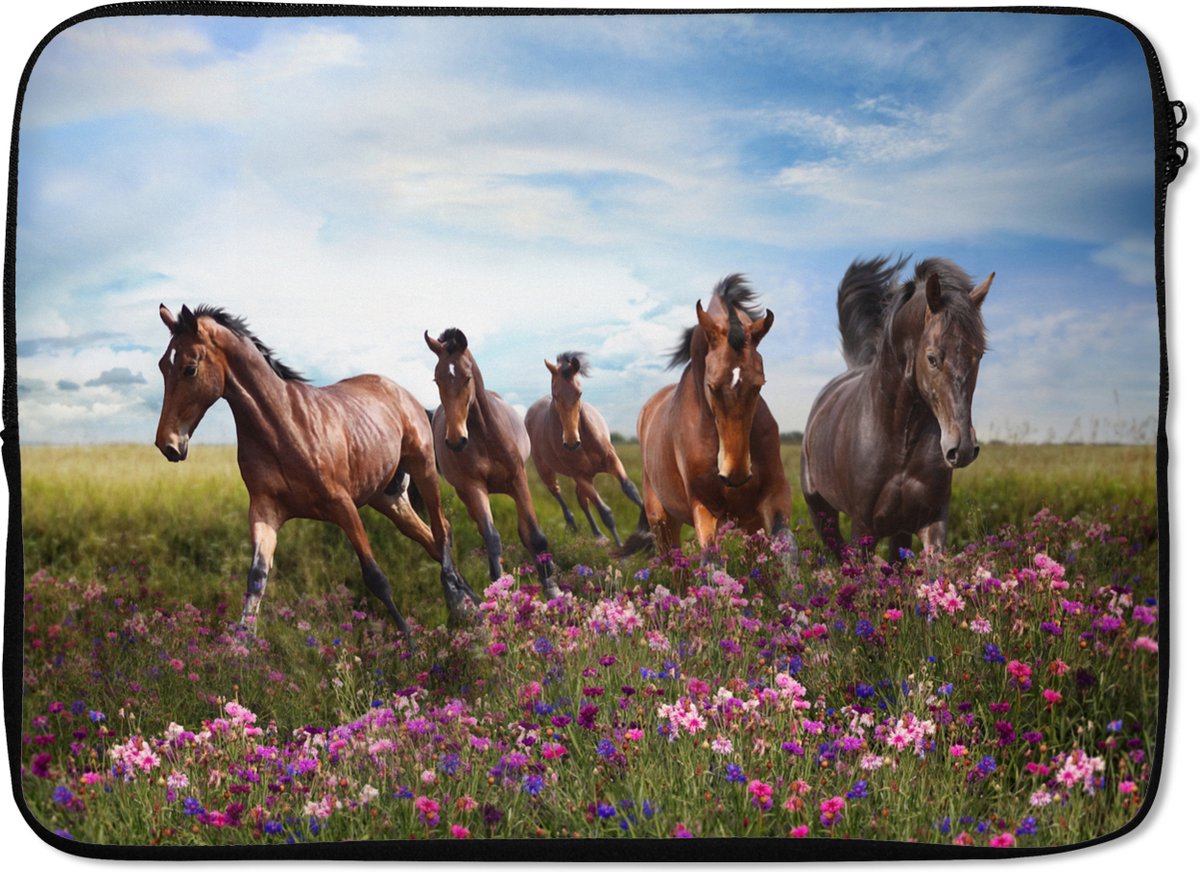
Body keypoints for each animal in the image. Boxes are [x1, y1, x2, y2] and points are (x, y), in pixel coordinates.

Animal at [153, 304, 478, 646]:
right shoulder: (264, 511)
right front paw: (240, 645)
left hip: (424, 470)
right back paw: (472, 604)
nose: (168, 445)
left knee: (442, 530)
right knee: (431, 539)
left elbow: (375, 576)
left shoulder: (343, 506)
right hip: (389, 500)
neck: (282, 427)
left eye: (189, 368)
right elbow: (256, 579)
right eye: (163, 366)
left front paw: (410, 643)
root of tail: (403, 393)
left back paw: (462, 604)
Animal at [424, 328, 562, 599]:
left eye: (467, 378)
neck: (486, 437)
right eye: (436, 380)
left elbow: (534, 534)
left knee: (525, 531)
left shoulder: (519, 478)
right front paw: (499, 588)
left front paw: (552, 586)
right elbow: (492, 538)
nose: (455, 440)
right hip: (466, 493)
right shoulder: (474, 487)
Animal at [524, 352, 644, 545]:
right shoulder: (580, 476)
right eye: (555, 394)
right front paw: (622, 548)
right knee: (558, 492)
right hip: (548, 471)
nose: (571, 442)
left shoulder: (612, 461)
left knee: (582, 501)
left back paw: (597, 534)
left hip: (586, 475)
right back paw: (574, 524)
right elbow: (606, 513)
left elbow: (631, 490)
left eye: (579, 393)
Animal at [625, 275, 796, 560]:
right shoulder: (704, 508)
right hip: (662, 522)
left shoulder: (773, 498)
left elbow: (787, 551)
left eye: (758, 385)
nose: (735, 474)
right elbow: (711, 560)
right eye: (712, 386)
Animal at [800, 256, 993, 558]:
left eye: (979, 355)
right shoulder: (863, 529)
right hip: (821, 511)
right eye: (932, 357)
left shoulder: (930, 521)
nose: (961, 449)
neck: (900, 441)